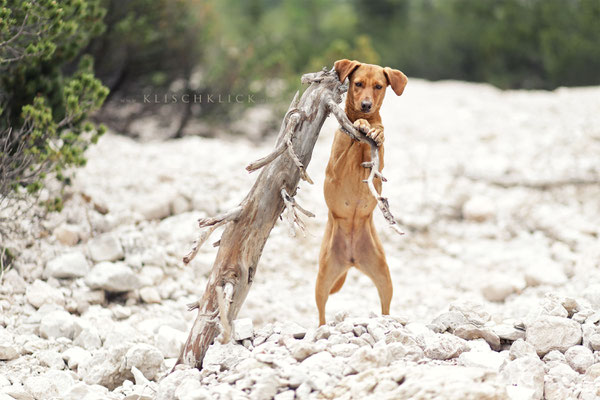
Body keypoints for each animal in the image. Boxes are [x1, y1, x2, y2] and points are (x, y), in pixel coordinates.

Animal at [314, 60, 408, 328]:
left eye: (378, 86)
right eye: (358, 84)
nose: (366, 106)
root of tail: (351, 258)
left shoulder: (379, 167)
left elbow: (378, 142)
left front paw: (375, 130)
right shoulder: (335, 171)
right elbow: (351, 142)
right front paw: (362, 126)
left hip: (384, 277)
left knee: (386, 306)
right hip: (322, 280)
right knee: (321, 313)